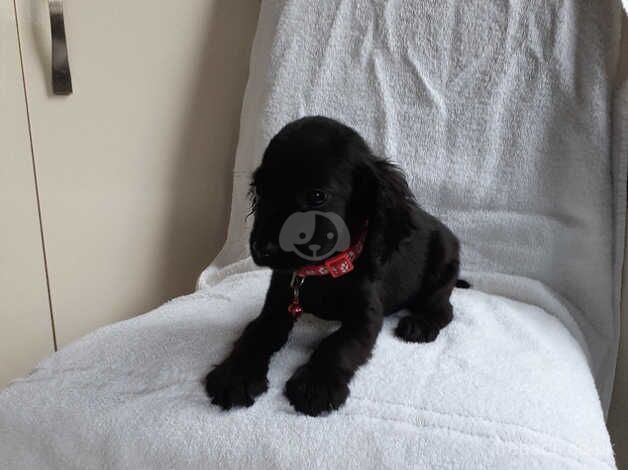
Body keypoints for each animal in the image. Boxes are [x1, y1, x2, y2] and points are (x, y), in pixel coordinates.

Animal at [204, 115, 464, 416]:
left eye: (317, 196)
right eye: (260, 189)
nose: (261, 249)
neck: (322, 272)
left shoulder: (366, 317)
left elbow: (336, 345)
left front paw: (316, 386)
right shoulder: (276, 306)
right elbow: (253, 334)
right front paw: (235, 375)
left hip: (441, 268)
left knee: (444, 308)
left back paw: (420, 324)